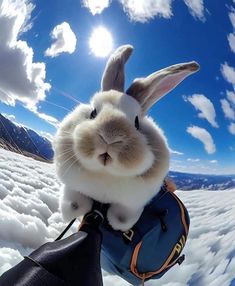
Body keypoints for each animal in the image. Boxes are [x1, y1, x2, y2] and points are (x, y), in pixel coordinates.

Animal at [52, 45, 198, 232]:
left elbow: (123, 217)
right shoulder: (72, 186)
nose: (110, 136)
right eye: (93, 113)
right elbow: (73, 202)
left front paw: (118, 223)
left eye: (136, 123)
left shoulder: (132, 203)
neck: (105, 175)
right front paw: (72, 209)